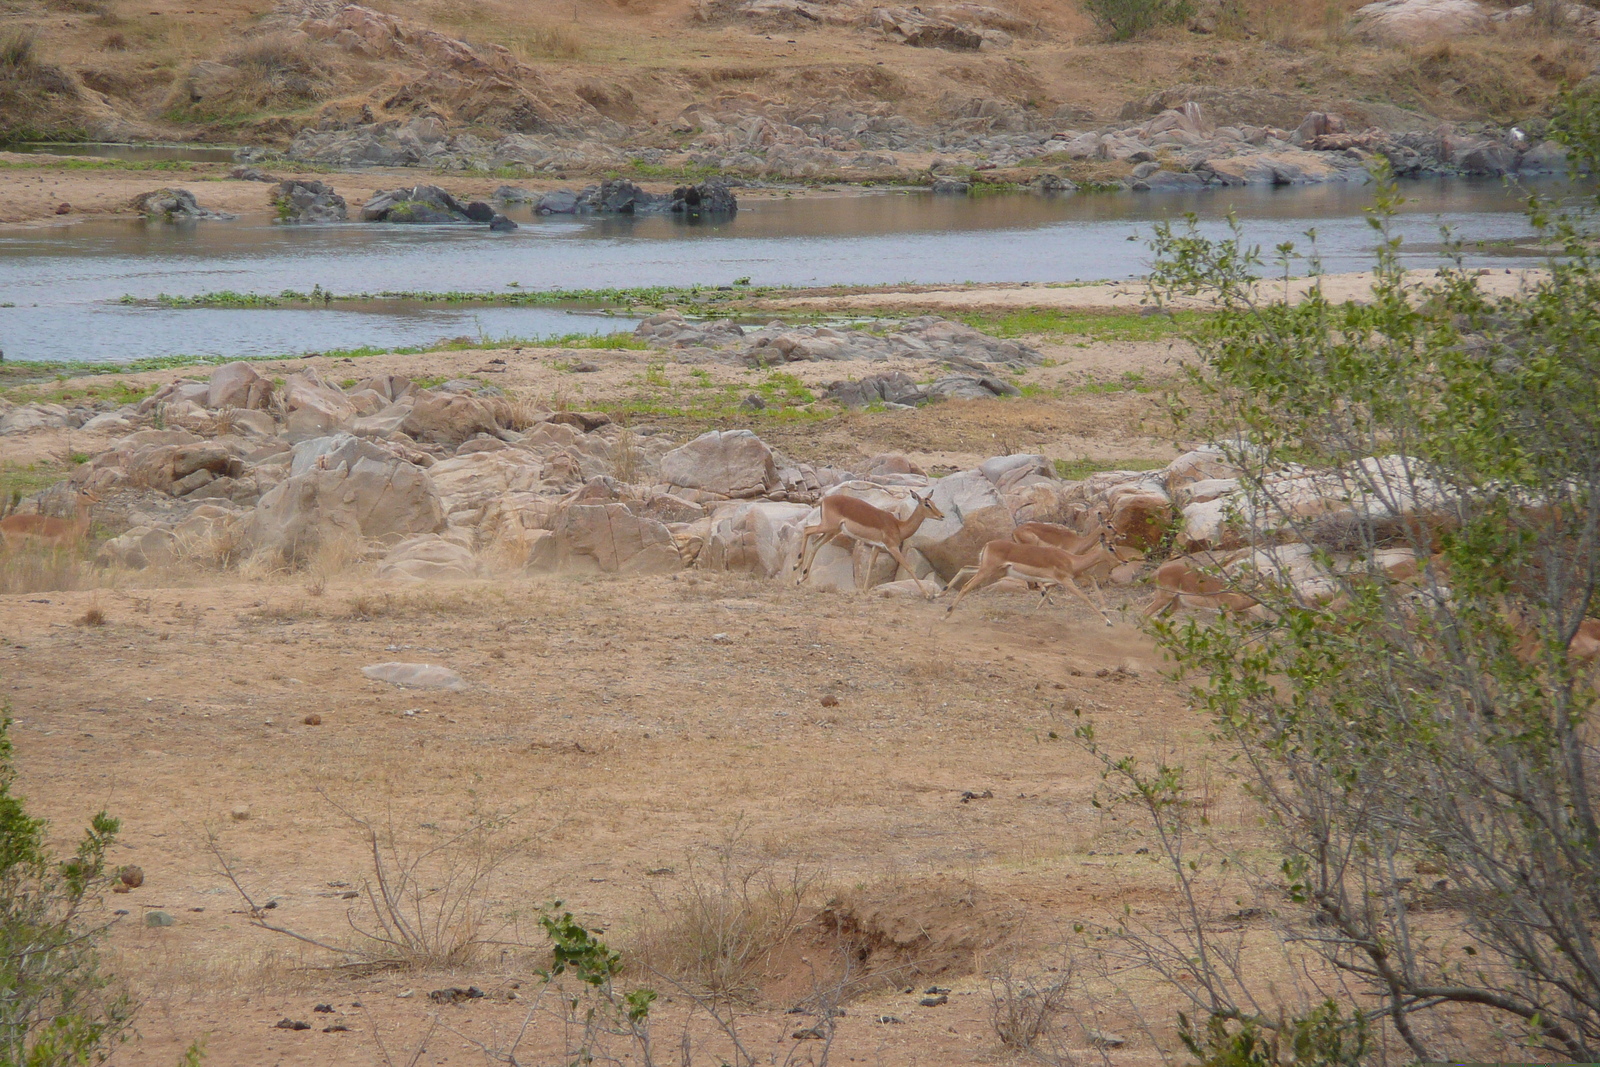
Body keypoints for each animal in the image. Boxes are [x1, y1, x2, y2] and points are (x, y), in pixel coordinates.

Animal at [793, 489, 940, 598]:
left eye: (933, 502)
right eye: (927, 504)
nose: (941, 515)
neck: (898, 526)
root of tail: (824, 500)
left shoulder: (877, 547)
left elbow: (870, 565)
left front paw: (864, 591)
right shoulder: (892, 547)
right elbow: (908, 567)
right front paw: (928, 595)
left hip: (832, 531)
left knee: (815, 544)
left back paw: (801, 578)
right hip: (827, 527)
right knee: (807, 530)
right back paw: (796, 566)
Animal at [940, 534, 1120, 627]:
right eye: (1111, 548)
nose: (1123, 560)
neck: (1071, 559)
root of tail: (988, 544)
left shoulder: (1071, 577)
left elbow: (1091, 579)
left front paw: (1106, 611)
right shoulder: (1065, 580)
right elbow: (1084, 597)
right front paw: (1108, 621)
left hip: (990, 570)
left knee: (965, 569)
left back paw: (939, 594)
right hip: (987, 571)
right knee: (965, 586)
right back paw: (945, 614)